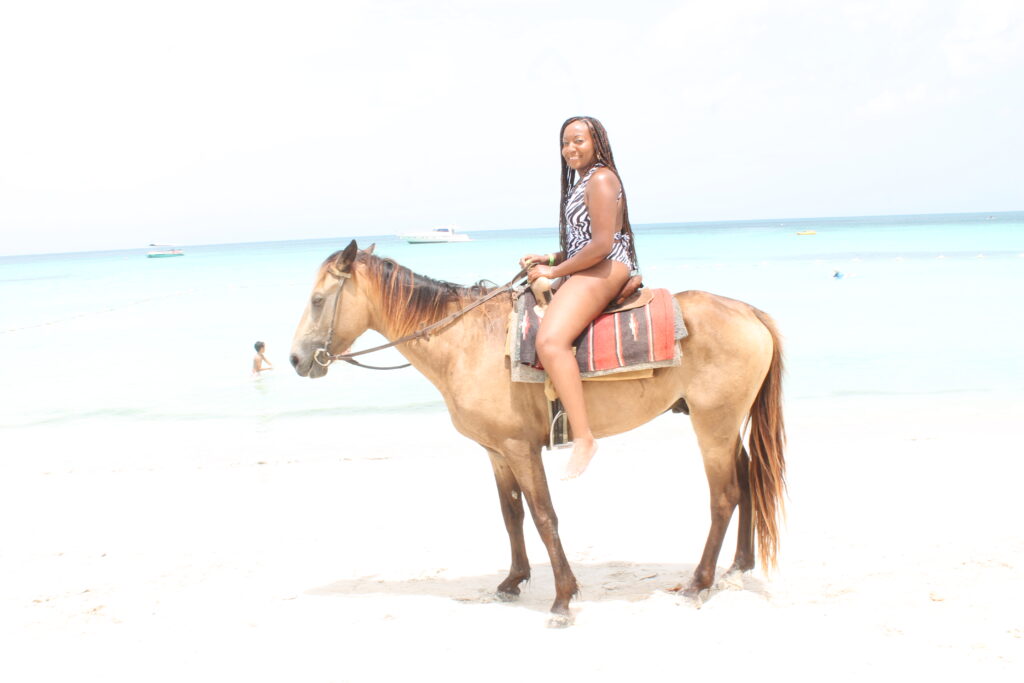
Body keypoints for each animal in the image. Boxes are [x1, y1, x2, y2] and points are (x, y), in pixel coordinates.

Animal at [292, 240, 786, 626]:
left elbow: (545, 516)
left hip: (713, 426)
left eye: (317, 300)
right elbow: (512, 514)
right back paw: (737, 566)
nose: (296, 359)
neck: (468, 341)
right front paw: (513, 581)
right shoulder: (496, 451)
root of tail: (749, 312)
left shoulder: (520, 448)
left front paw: (563, 598)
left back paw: (698, 583)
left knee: (724, 496)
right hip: (725, 425)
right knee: (746, 480)